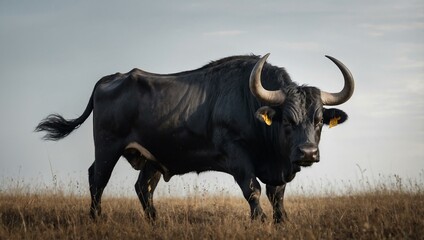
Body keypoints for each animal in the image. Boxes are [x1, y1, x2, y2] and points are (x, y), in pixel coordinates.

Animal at [35, 53, 354, 222]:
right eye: (287, 120)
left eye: (318, 120)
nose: (308, 153)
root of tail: (111, 78)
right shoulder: (237, 156)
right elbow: (252, 189)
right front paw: (260, 220)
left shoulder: (278, 169)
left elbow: (277, 195)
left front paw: (281, 221)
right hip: (107, 148)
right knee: (97, 179)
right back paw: (96, 217)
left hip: (152, 159)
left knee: (143, 188)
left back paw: (155, 222)